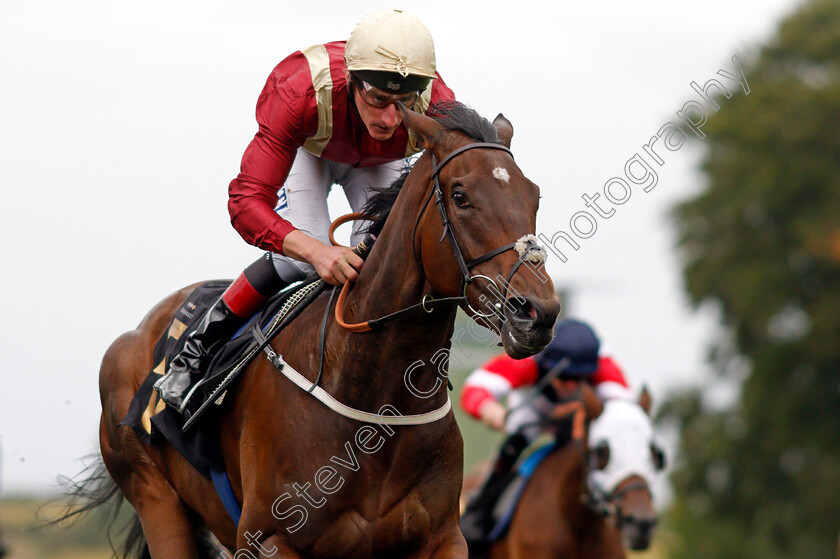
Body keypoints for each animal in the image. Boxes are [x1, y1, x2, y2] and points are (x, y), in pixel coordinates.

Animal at [88, 101, 560, 559]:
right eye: (460, 196)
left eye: (534, 196)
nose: (537, 313)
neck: (375, 398)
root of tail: (134, 335)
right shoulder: (270, 538)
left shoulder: (442, 537)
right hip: (155, 497)